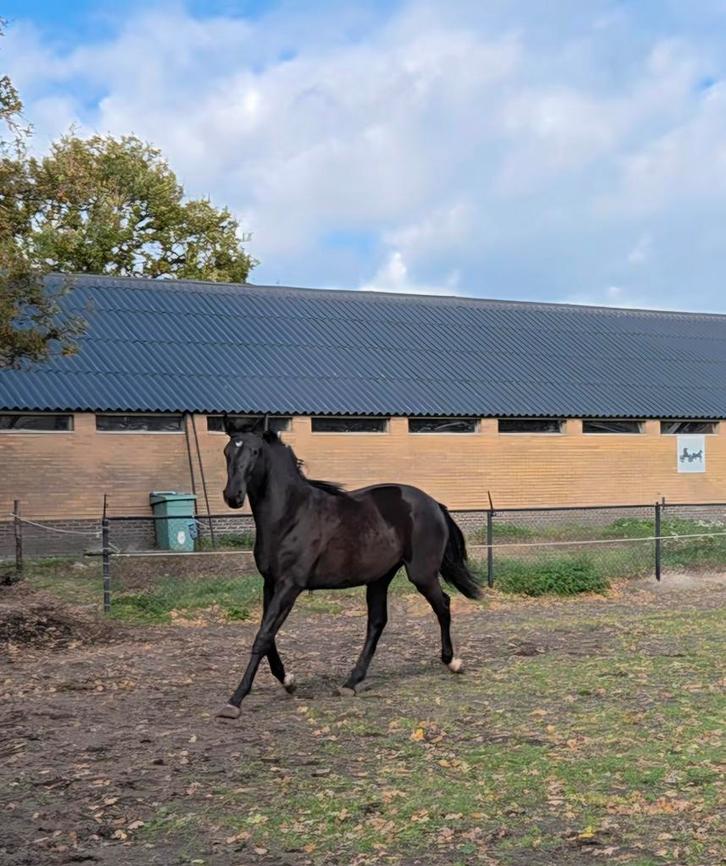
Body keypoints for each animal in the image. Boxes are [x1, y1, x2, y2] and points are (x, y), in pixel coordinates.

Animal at [217, 422, 482, 718]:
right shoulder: (270, 583)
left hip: (421, 574)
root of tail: (434, 503)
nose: (233, 496)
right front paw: (288, 681)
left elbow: (263, 636)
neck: (291, 515)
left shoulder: (290, 585)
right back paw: (351, 682)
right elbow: (268, 635)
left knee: (443, 605)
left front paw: (235, 700)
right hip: (380, 578)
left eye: (255, 451)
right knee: (377, 622)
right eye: (227, 451)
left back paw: (452, 661)